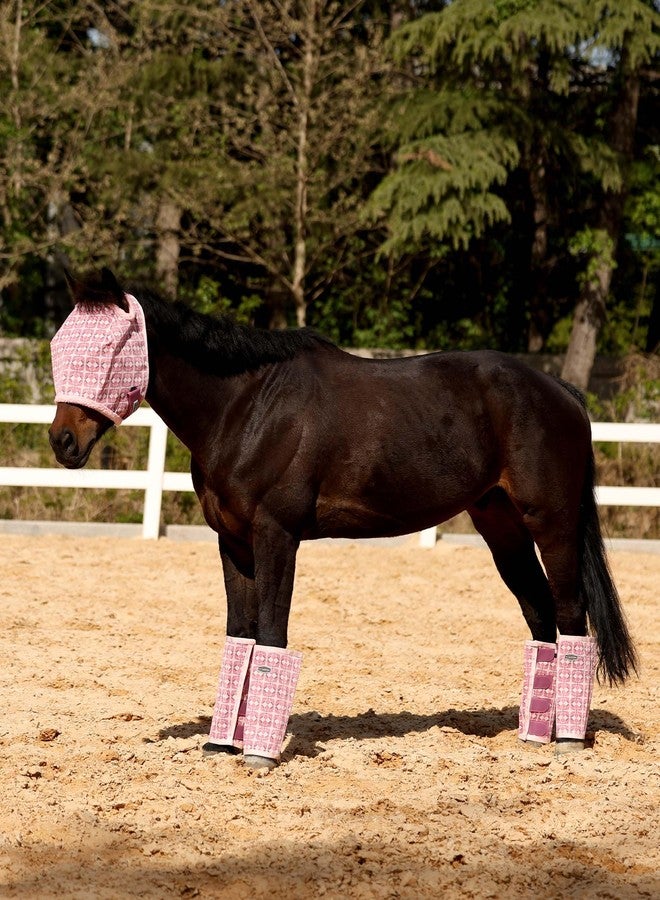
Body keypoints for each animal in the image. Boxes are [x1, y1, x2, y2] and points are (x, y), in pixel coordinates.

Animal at [48, 268, 636, 768]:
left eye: (108, 348)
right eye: (59, 345)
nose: (63, 441)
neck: (247, 407)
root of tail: (562, 393)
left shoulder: (276, 535)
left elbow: (272, 633)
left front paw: (260, 754)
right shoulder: (232, 542)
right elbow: (240, 635)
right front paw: (220, 745)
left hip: (551, 525)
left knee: (570, 614)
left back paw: (567, 739)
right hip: (501, 528)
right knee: (540, 617)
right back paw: (535, 736)